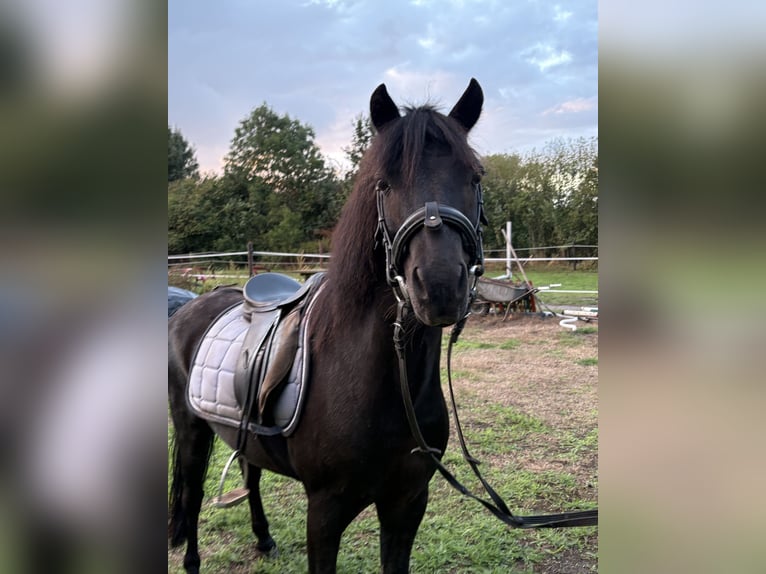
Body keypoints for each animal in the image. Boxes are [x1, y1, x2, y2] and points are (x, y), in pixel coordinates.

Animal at [168, 78, 487, 574]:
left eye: (475, 177)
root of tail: (187, 307)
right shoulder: (325, 510)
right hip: (190, 430)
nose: (437, 286)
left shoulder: (408, 502)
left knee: (249, 472)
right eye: (384, 183)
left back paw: (264, 539)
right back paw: (193, 562)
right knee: (193, 491)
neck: (387, 384)